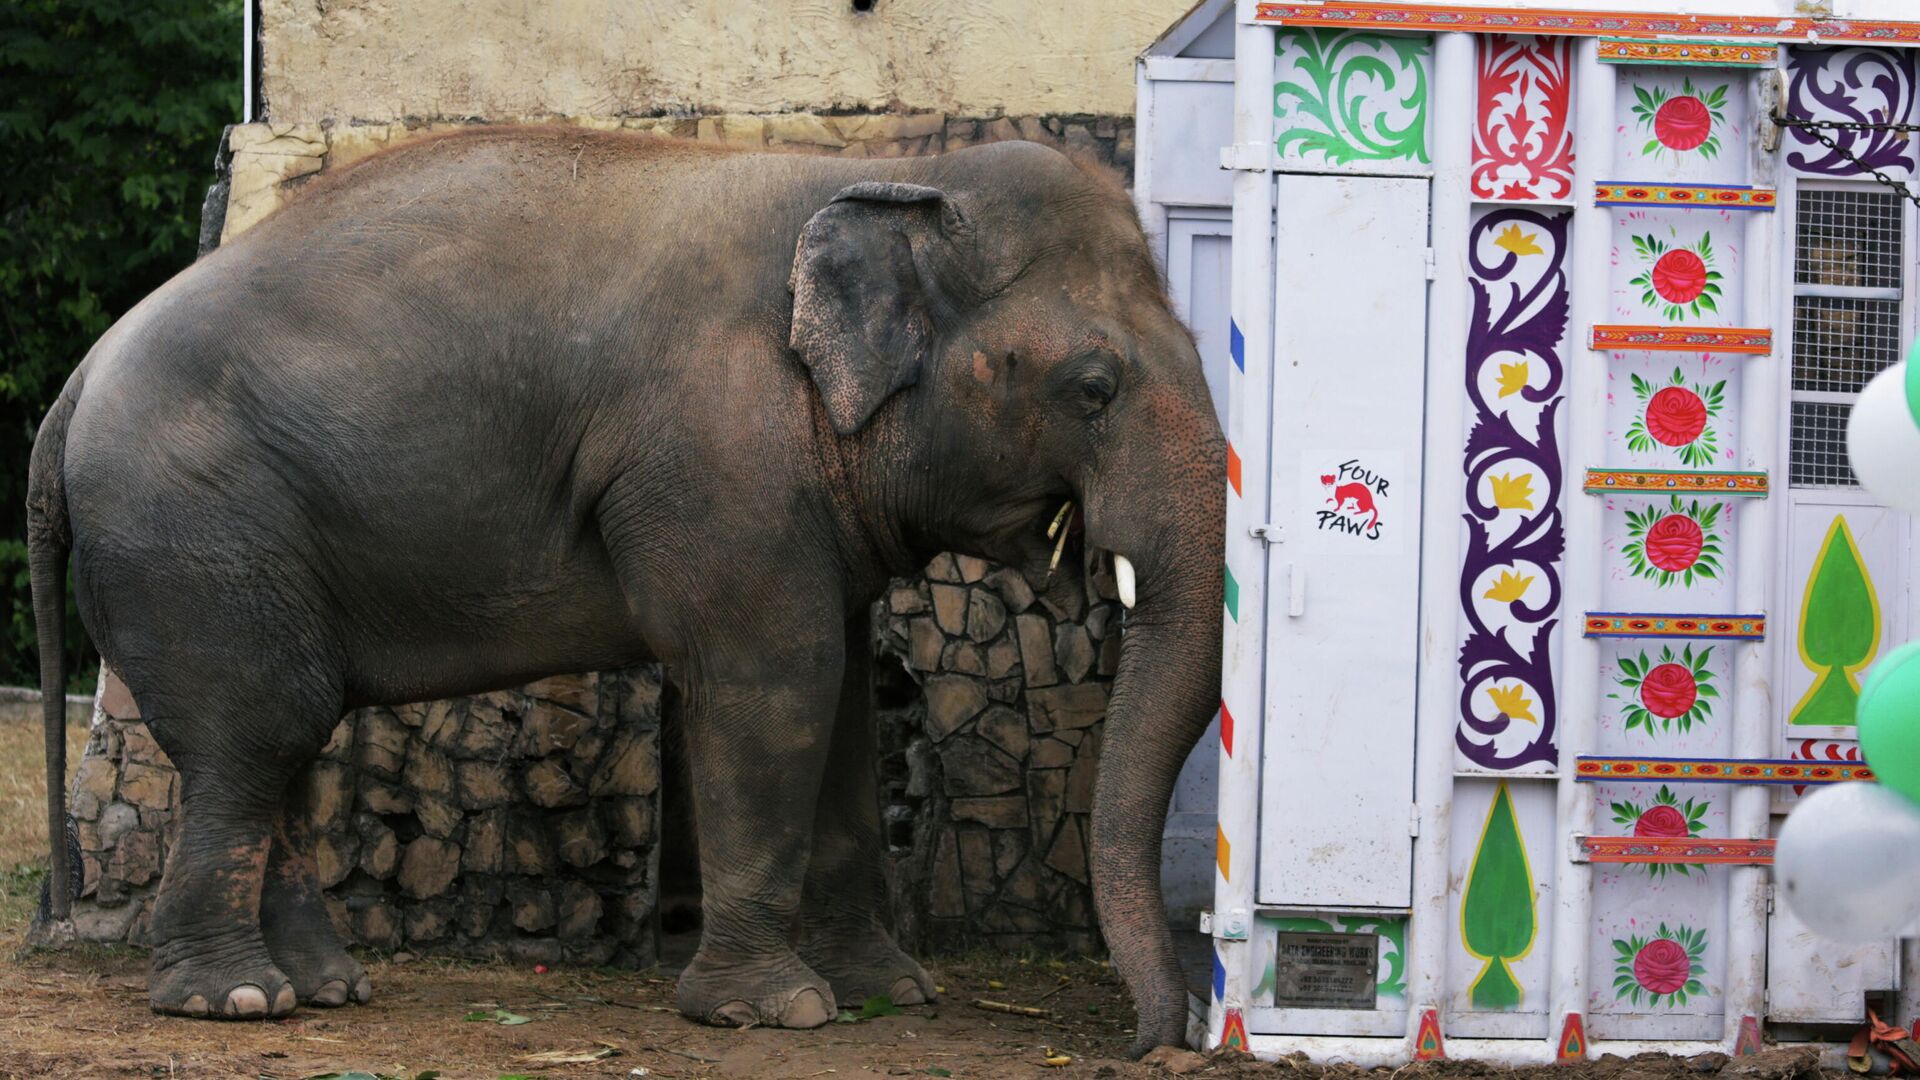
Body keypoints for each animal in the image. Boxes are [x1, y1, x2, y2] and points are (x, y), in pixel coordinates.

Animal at [22, 125, 1221, 1053]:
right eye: (1094, 387)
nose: (1145, 1044)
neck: (893, 174)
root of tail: (72, 385)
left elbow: (837, 696)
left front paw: (890, 996)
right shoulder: (716, 453)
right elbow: (773, 681)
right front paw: (770, 1014)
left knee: (284, 740)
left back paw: (324, 988)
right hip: (195, 531)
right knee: (256, 735)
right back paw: (233, 1000)